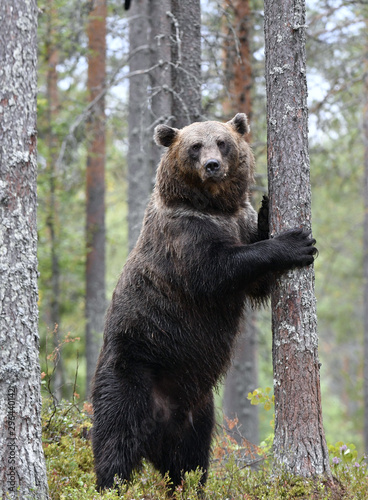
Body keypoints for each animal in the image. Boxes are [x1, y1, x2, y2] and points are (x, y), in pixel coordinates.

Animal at [91, 113, 316, 492]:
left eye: (222, 142)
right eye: (195, 146)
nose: (213, 165)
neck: (212, 206)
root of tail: (160, 421)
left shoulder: (235, 221)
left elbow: (256, 281)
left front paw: (267, 208)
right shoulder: (184, 238)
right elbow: (218, 269)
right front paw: (295, 243)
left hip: (198, 409)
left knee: (191, 460)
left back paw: (188, 485)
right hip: (130, 371)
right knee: (115, 439)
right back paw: (111, 485)